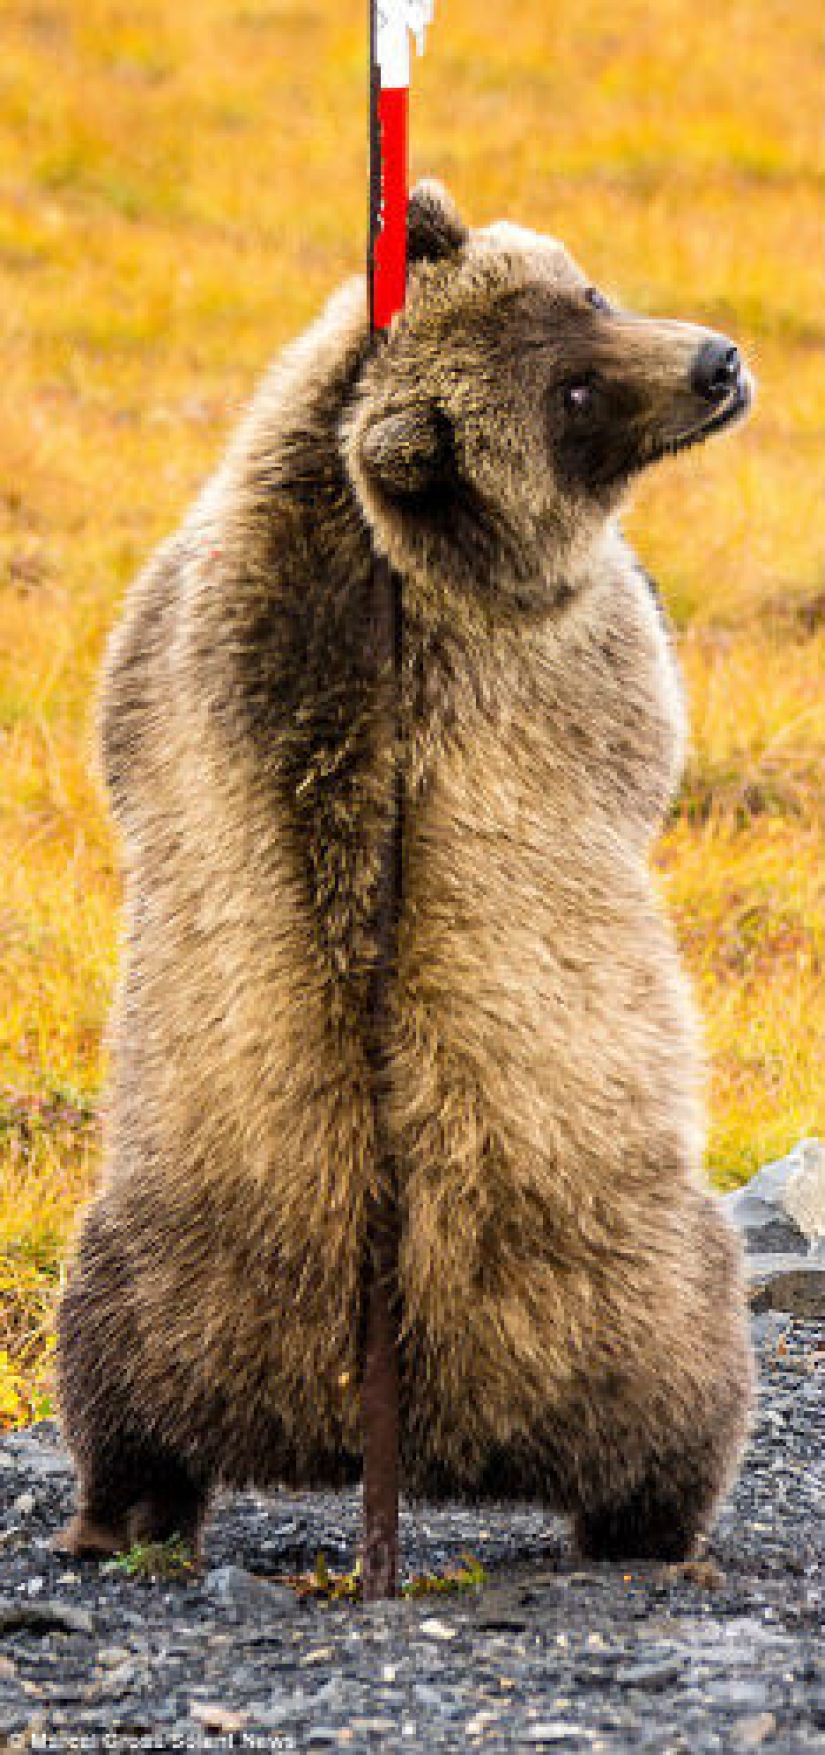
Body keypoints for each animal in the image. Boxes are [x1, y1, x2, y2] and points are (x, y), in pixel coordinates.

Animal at [55, 181, 755, 1564]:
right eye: (572, 396)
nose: (715, 364)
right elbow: (646, 712)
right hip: (612, 1284)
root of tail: (372, 1397)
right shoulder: (558, 656)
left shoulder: (166, 633)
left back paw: (116, 1512)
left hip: (167, 1259)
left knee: (120, 1391)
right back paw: (664, 1526)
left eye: (587, 295)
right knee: (680, 1389)